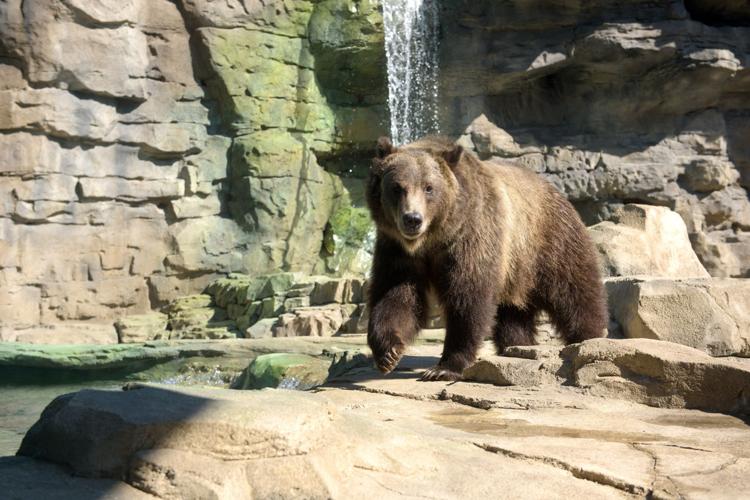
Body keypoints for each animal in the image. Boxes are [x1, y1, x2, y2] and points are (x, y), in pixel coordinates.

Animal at [368, 136, 608, 378]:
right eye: (397, 187)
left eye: (429, 188)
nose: (413, 219)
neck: (434, 238)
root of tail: (556, 191)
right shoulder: (397, 250)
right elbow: (396, 294)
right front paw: (388, 353)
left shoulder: (471, 236)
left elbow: (468, 298)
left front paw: (444, 367)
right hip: (514, 270)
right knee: (513, 313)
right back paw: (516, 346)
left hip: (549, 243)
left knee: (575, 293)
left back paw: (588, 339)